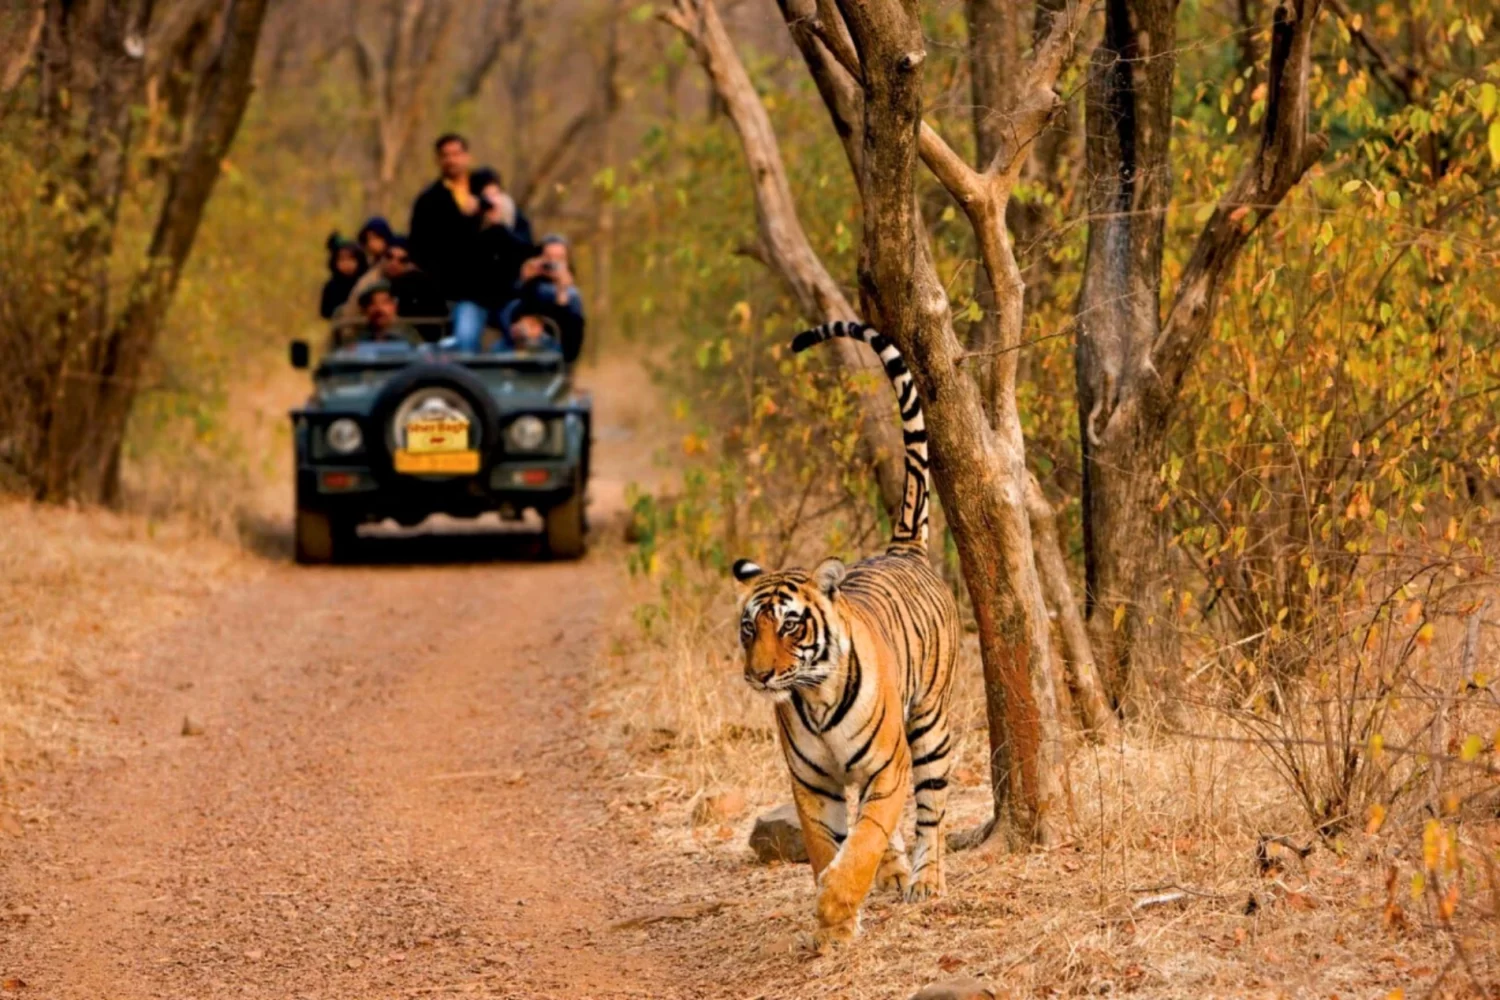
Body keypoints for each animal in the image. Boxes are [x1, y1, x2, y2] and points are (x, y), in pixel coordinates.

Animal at [729, 320, 960, 947]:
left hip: (929, 725)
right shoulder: (813, 785)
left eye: (790, 624)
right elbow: (825, 846)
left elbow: (863, 840)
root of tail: (902, 549)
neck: (815, 698)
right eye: (748, 628)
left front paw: (837, 910)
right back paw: (898, 873)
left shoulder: (888, 767)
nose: (760, 676)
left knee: (931, 811)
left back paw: (926, 881)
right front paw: (835, 920)